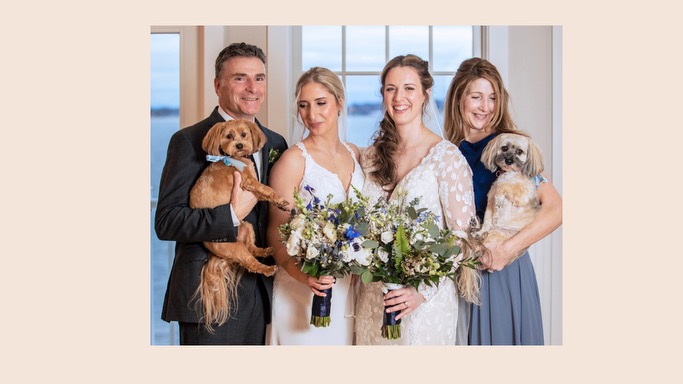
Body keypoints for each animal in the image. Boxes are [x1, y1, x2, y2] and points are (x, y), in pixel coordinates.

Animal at [470, 134, 544, 266]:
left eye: (519, 152)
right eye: (504, 148)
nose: (508, 161)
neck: (510, 174)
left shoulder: (522, 195)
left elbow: (505, 186)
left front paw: (500, 197)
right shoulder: (490, 202)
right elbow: (487, 220)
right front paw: (481, 230)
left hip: (498, 234)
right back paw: (477, 228)